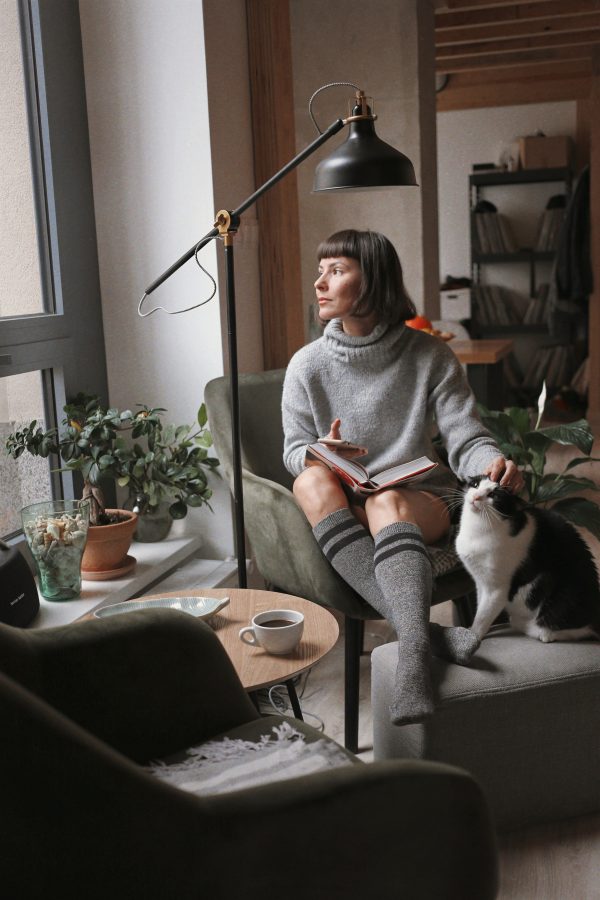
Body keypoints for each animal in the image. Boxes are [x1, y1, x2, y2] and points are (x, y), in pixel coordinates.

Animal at [454, 474, 600, 644]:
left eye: (493, 495)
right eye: (476, 485)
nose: (476, 496)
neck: (477, 529)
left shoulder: (497, 589)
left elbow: (483, 615)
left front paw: (472, 636)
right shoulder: (481, 581)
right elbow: (480, 607)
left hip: (556, 594)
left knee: (556, 631)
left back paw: (523, 624)